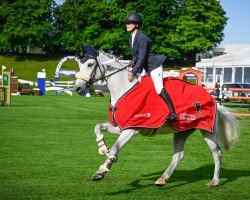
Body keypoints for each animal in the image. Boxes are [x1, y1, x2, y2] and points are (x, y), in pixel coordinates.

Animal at [74, 48, 240, 188]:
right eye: (81, 64)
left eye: (90, 64)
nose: (78, 88)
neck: (124, 89)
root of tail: (213, 100)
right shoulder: (120, 126)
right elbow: (98, 127)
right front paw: (104, 149)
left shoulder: (132, 129)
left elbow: (116, 147)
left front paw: (102, 170)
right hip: (181, 132)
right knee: (178, 155)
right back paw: (163, 179)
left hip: (207, 131)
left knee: (217, 153)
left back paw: (214, 182)